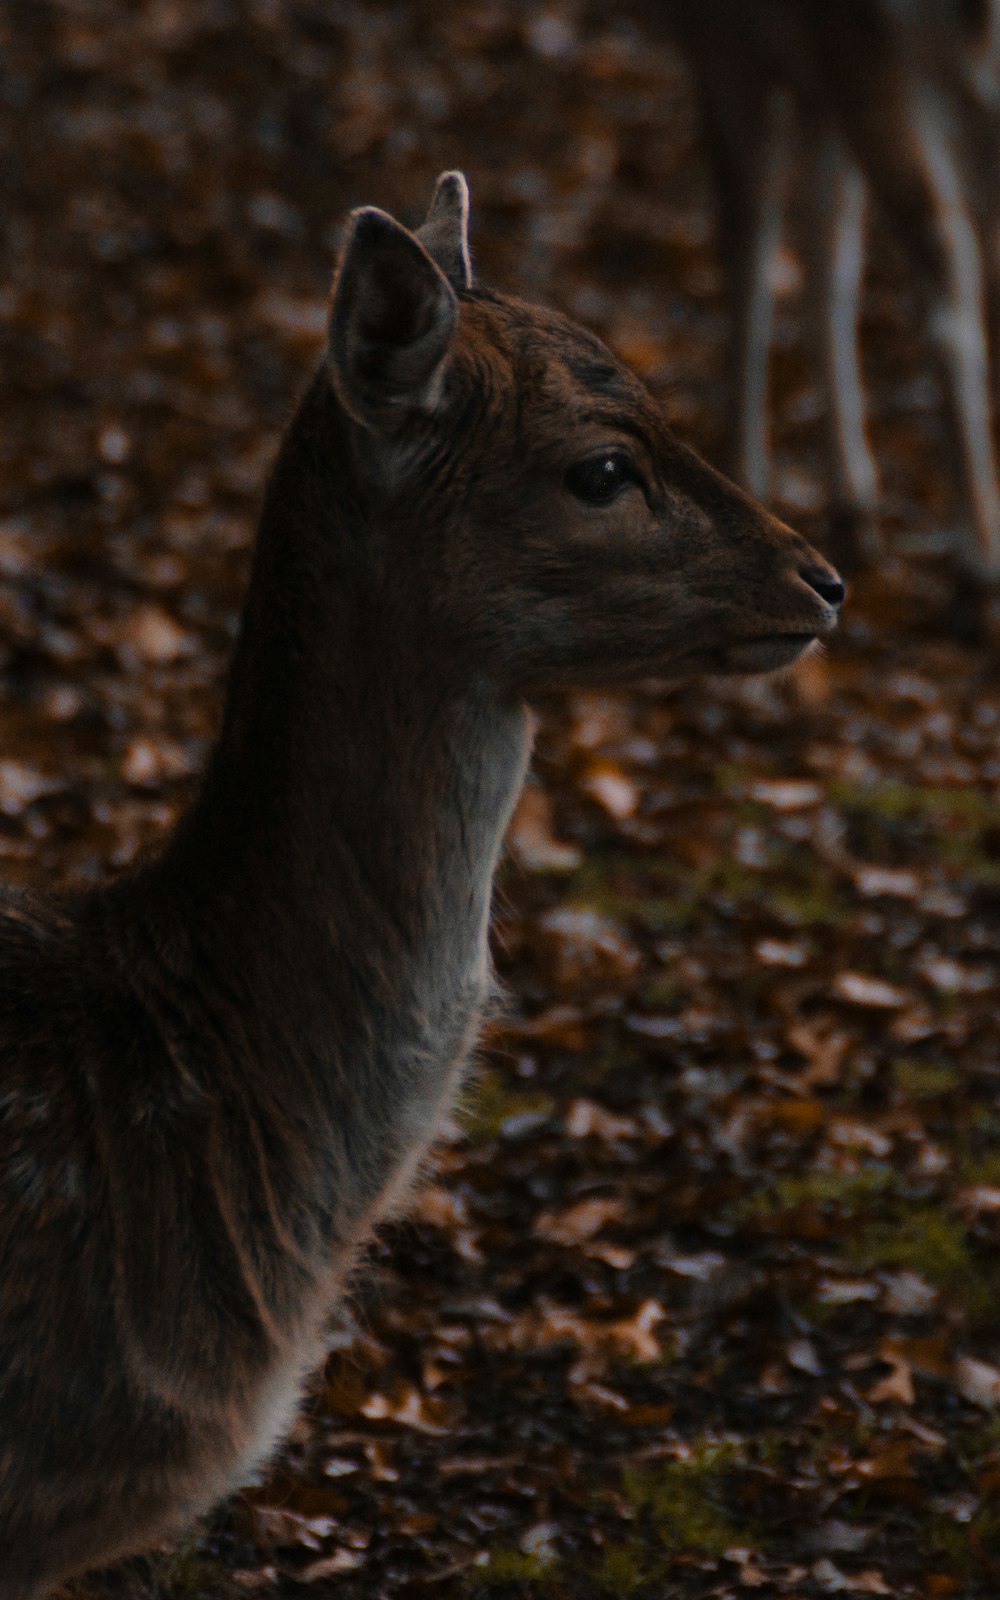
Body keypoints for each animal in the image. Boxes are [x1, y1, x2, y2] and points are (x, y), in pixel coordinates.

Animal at [643, 0, 998, 576]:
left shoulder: (725, 44)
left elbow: (747, 236)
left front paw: (742, 474)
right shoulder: (812, 85)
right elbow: (830, 258)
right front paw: (852, 503)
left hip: (871, 53)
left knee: (945, 259)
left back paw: (977, 560)